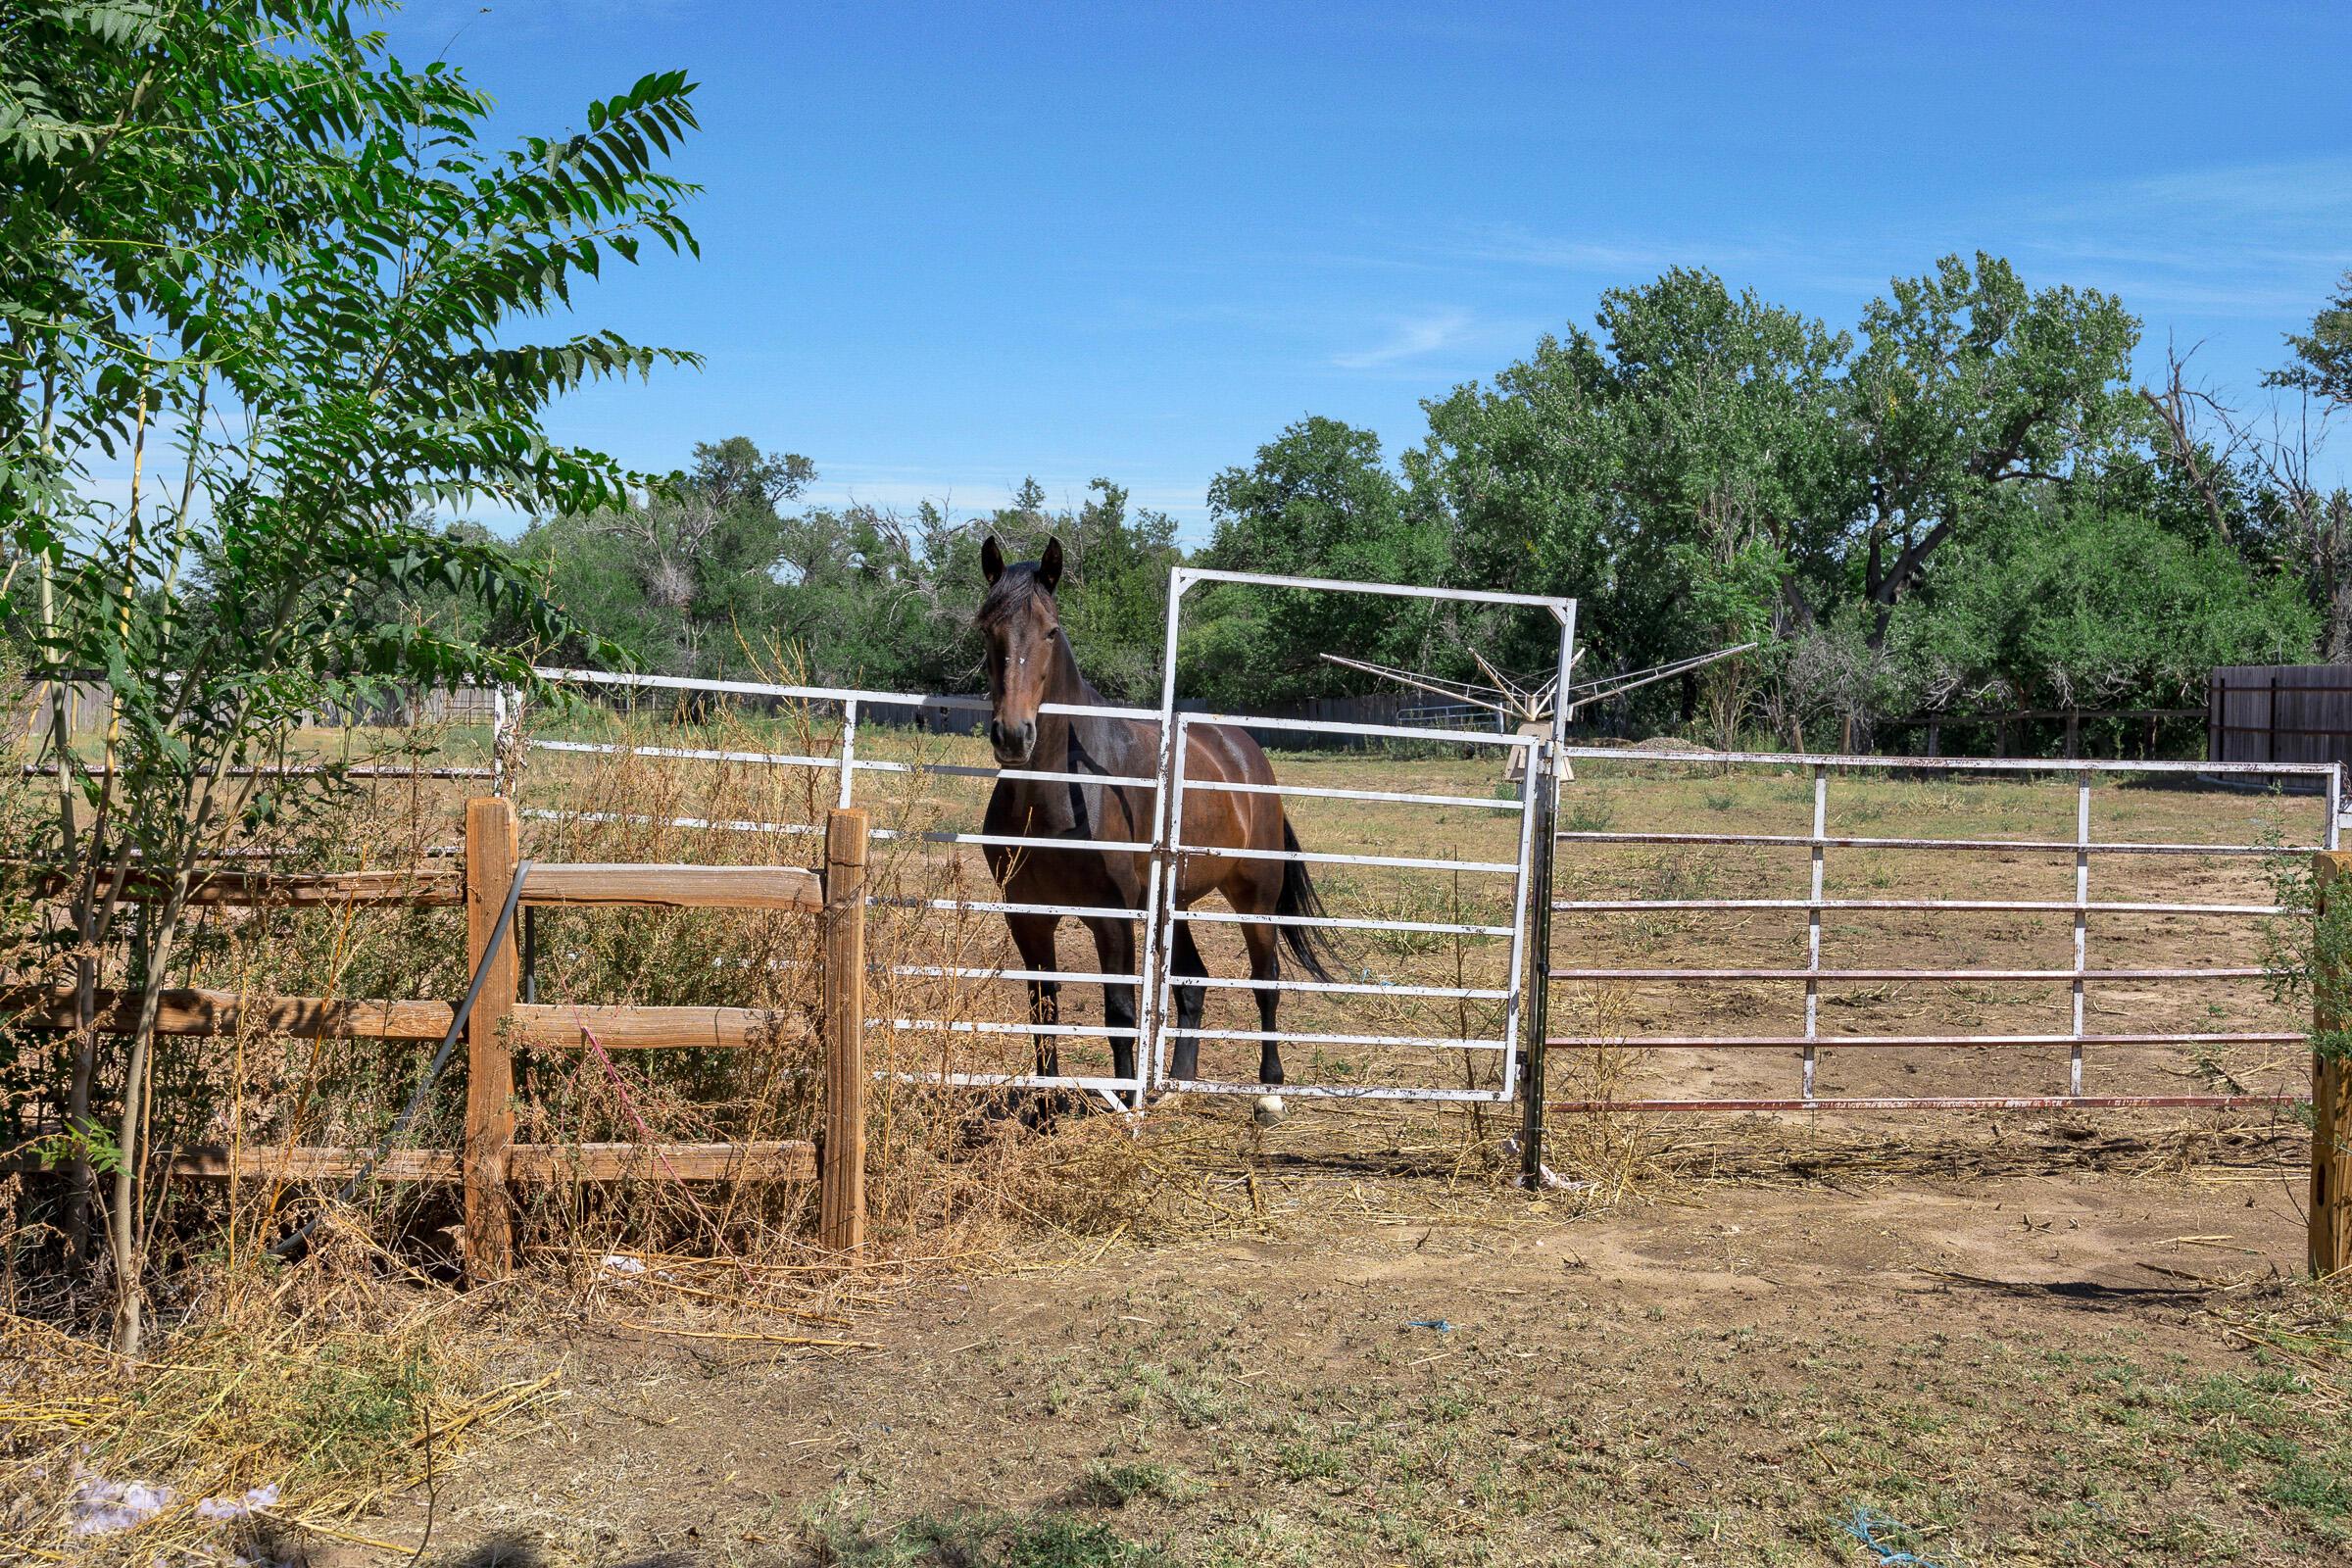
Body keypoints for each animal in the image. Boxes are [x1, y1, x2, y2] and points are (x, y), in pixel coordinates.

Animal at [978, 533, 1345, 1086]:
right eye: (987, 628)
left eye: (1051, 631)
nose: (1014, 735)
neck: (1062, 800)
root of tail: (1246, 754)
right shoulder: (1027, 915)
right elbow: (1043, 1010)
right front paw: (1048, 1103)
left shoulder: (1113, 917)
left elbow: (1120, 1013)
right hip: (1175, 903)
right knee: (1194, 981)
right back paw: (1176, 1079)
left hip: (1255, 897)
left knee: (1266, 979)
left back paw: (1270, 1084)